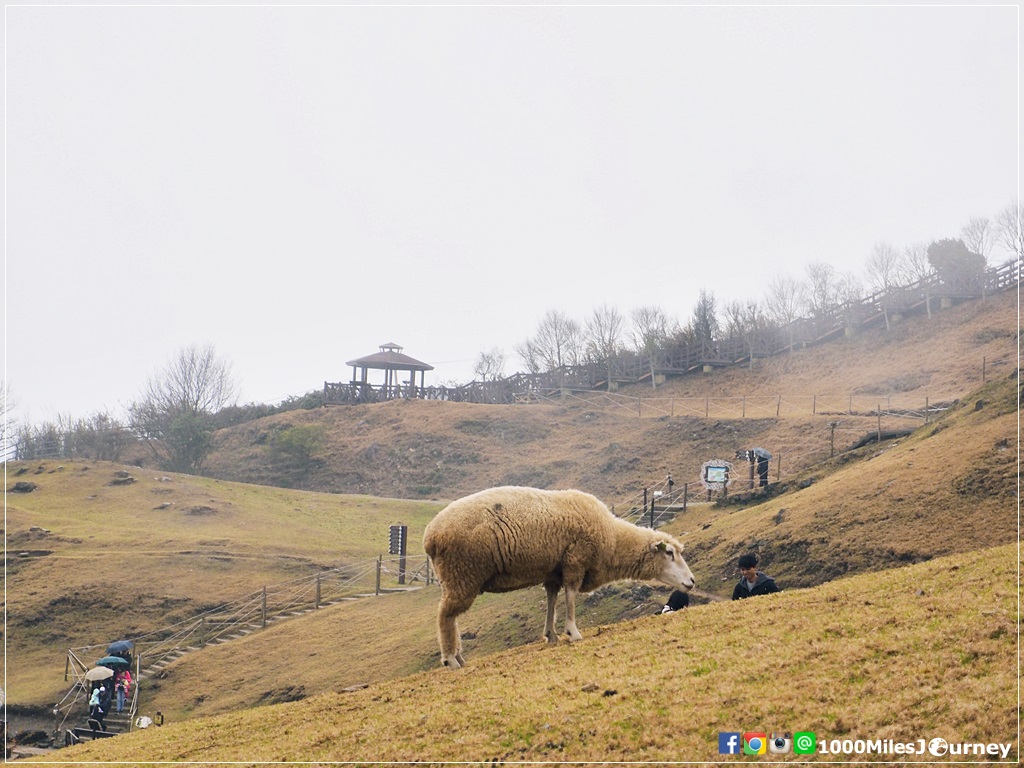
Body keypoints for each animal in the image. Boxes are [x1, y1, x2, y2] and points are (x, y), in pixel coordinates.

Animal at [421, 489, 696, 671]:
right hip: (462, 572)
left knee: (450, 616)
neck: (613, 540)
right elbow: (571, 596)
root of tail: (430, 536)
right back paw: (451, 659)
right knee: (445, 616)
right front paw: (572, 632)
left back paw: (458, 656)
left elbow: (552, 600)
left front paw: (550, 634)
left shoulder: (554, 572)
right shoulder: (575, 559)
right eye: (670, 554)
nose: (691, 581)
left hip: (457, 577)